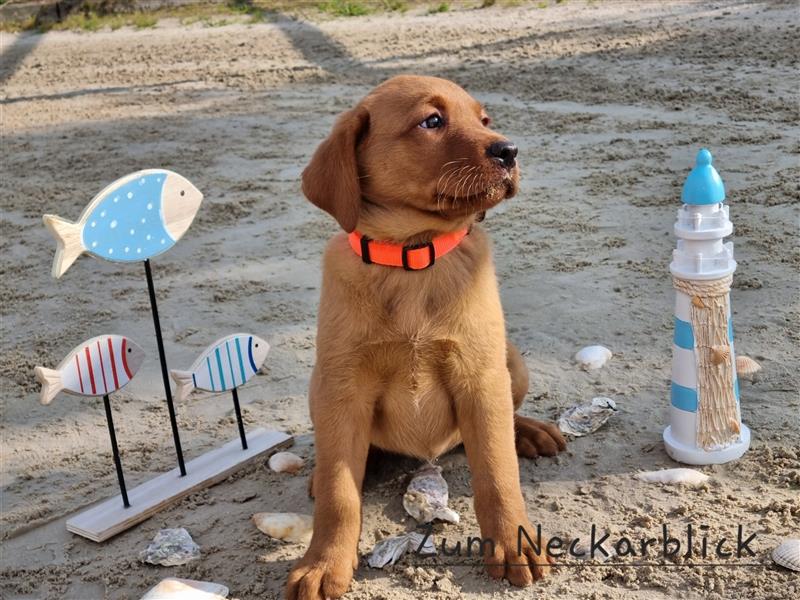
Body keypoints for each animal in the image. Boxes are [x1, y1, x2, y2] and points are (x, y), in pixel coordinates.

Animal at [290, 76, 564, 600]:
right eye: (432, 121)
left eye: (484, 119)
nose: (510, 150)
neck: (413, 257)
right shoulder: (341, 388)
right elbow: (338, 494)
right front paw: (323, 564)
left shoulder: (480, 377)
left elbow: (497, 473)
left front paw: (514, 543)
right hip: (318, 384)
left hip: (510, 361)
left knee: (507, 418)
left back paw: (530, 430)